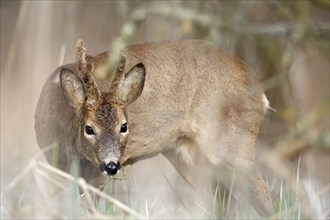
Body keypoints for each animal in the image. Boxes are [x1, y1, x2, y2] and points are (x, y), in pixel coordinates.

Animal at [34, 38, 270, 216]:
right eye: (89, 128)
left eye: (124, 126)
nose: (112, 165)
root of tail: (260, 92)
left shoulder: (94, 174)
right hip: (189, 156)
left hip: (233, 141)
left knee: (262, 194)